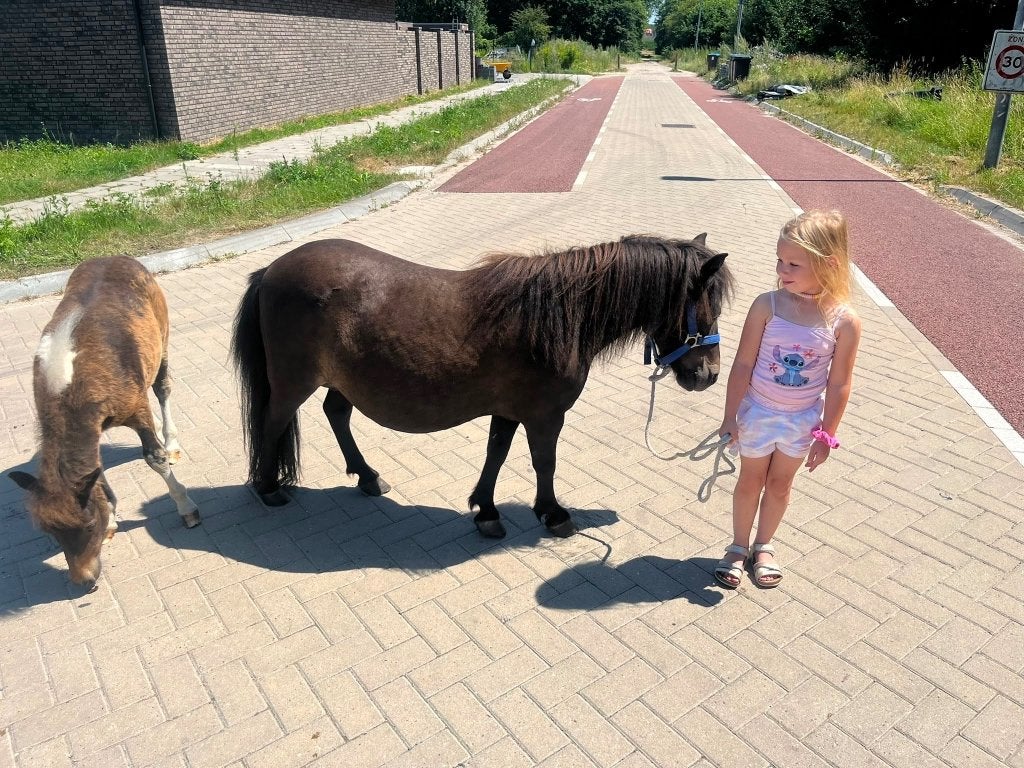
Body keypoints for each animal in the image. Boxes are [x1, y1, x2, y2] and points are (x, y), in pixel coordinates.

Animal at [9, 257, 200, 585]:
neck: (68, 382)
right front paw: (110, 520)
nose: (84, 580)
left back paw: (172, 442)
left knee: (162, 387)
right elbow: (95, 469)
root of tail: (116, 257)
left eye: (87, 526)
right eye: (52, 533)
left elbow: (154, 458)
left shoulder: (137, 409)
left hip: (162, 338)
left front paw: (186, 508)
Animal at [231, 235, 733, 539]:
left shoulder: (509, 411)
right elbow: (543, 463)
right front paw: (552, 514)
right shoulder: (544, 416)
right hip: (293, 382)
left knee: (336, 413)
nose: (707, 375)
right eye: (706, 305)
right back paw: (269, 487)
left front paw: (486, 511)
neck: (559, 316)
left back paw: (368, 476)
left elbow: (497, 453)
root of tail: (271, 269)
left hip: (343, 380)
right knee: (273, 422)